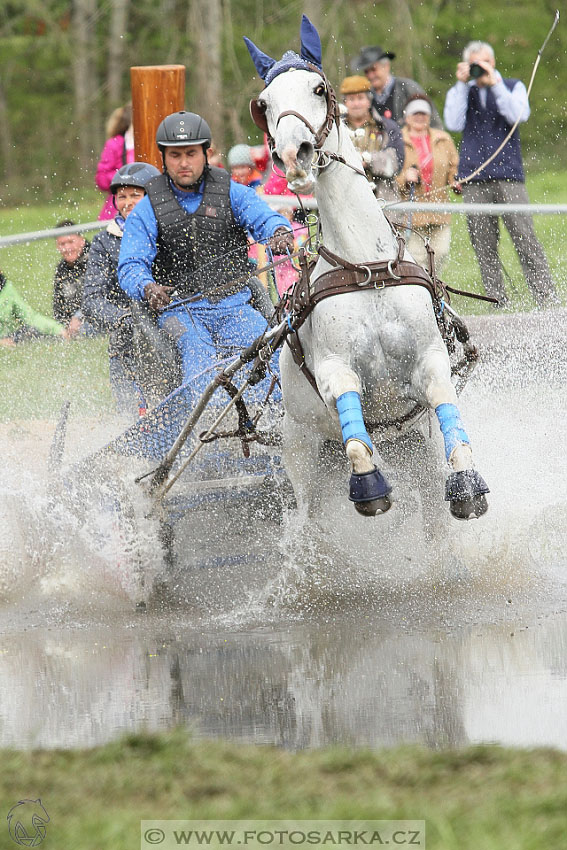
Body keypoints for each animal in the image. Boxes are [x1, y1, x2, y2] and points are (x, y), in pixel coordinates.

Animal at [244, 16, 488, 520]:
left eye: (319, 88)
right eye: (265, 104)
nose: (293, 154)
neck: (366, 268)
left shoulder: (431, 360)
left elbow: (448, 410)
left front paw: (467, 483)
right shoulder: (335, 371)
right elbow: (357, 444)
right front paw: (369, 485)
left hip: (416, 450)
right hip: (303, 456)